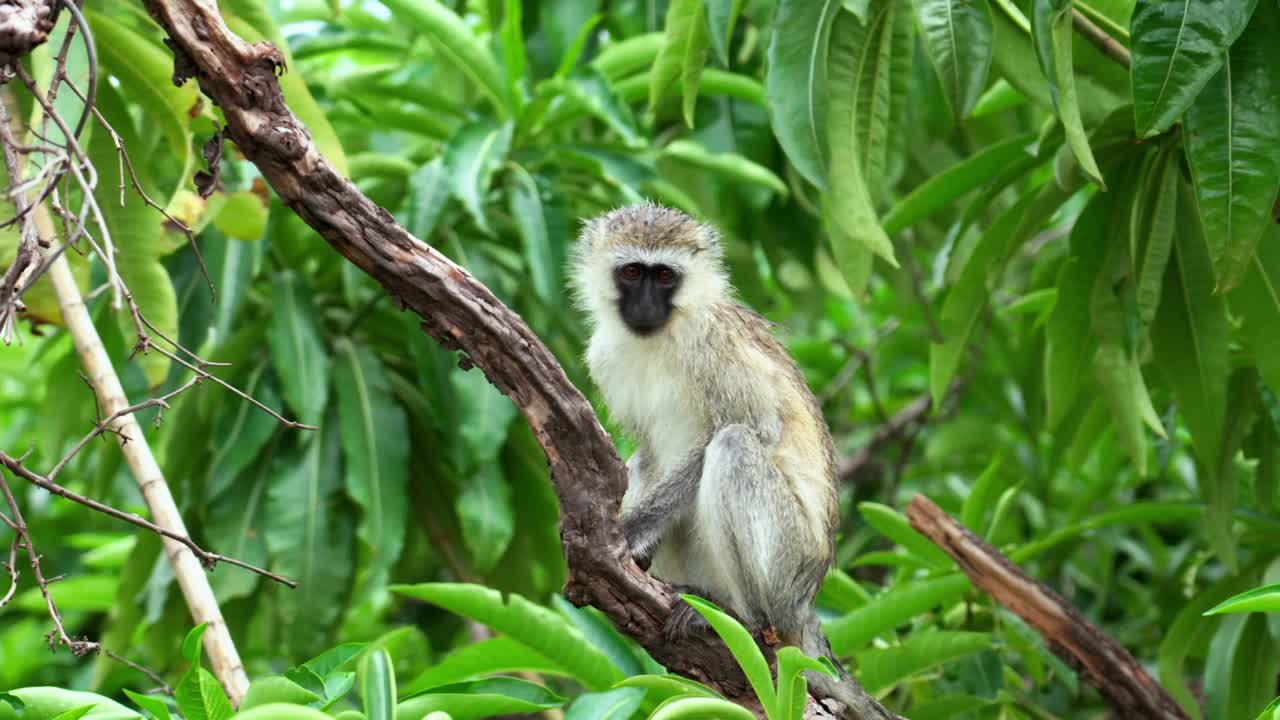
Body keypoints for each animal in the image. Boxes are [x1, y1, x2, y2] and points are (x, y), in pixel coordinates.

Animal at [571, 203, 886, 716]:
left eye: (664, 277)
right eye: (632, 272)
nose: (645, 307)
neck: (662, 336)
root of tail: (805, 608)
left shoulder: (714, 345)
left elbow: (756, 428)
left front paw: (631, 534)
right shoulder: (604, 355)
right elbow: (649, 453)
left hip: (789, 568)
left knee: (734, 445)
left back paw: (741, 616)